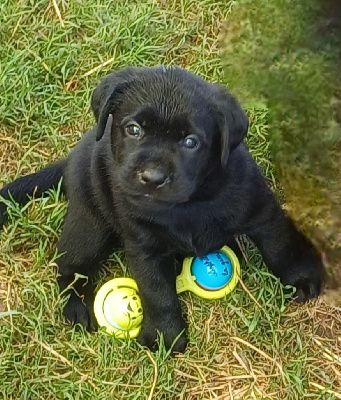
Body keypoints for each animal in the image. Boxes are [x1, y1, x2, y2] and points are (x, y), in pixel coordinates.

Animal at [0, 66, 322, 354]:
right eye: (134, 129)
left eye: (190, 142)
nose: (153, 177)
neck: (188, 203)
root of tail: (70, 159)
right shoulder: (145, 247)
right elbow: (157, 291)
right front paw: (165, 336)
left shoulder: (261, 209)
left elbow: (281, 246)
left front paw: (302, 277)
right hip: (89, 226)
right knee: (70, 265)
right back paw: (77, 305)